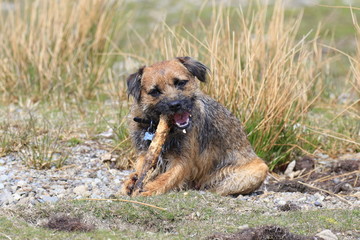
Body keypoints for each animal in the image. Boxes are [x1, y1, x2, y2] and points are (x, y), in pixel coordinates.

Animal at [123, 57, 268, 196]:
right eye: (155, 91)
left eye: (180, 82)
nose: (175, 105)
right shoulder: (144, 154)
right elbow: (141, 169)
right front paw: (131, 181)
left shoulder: (183, 161)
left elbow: (168, 177)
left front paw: (149, 188)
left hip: (259, 169)